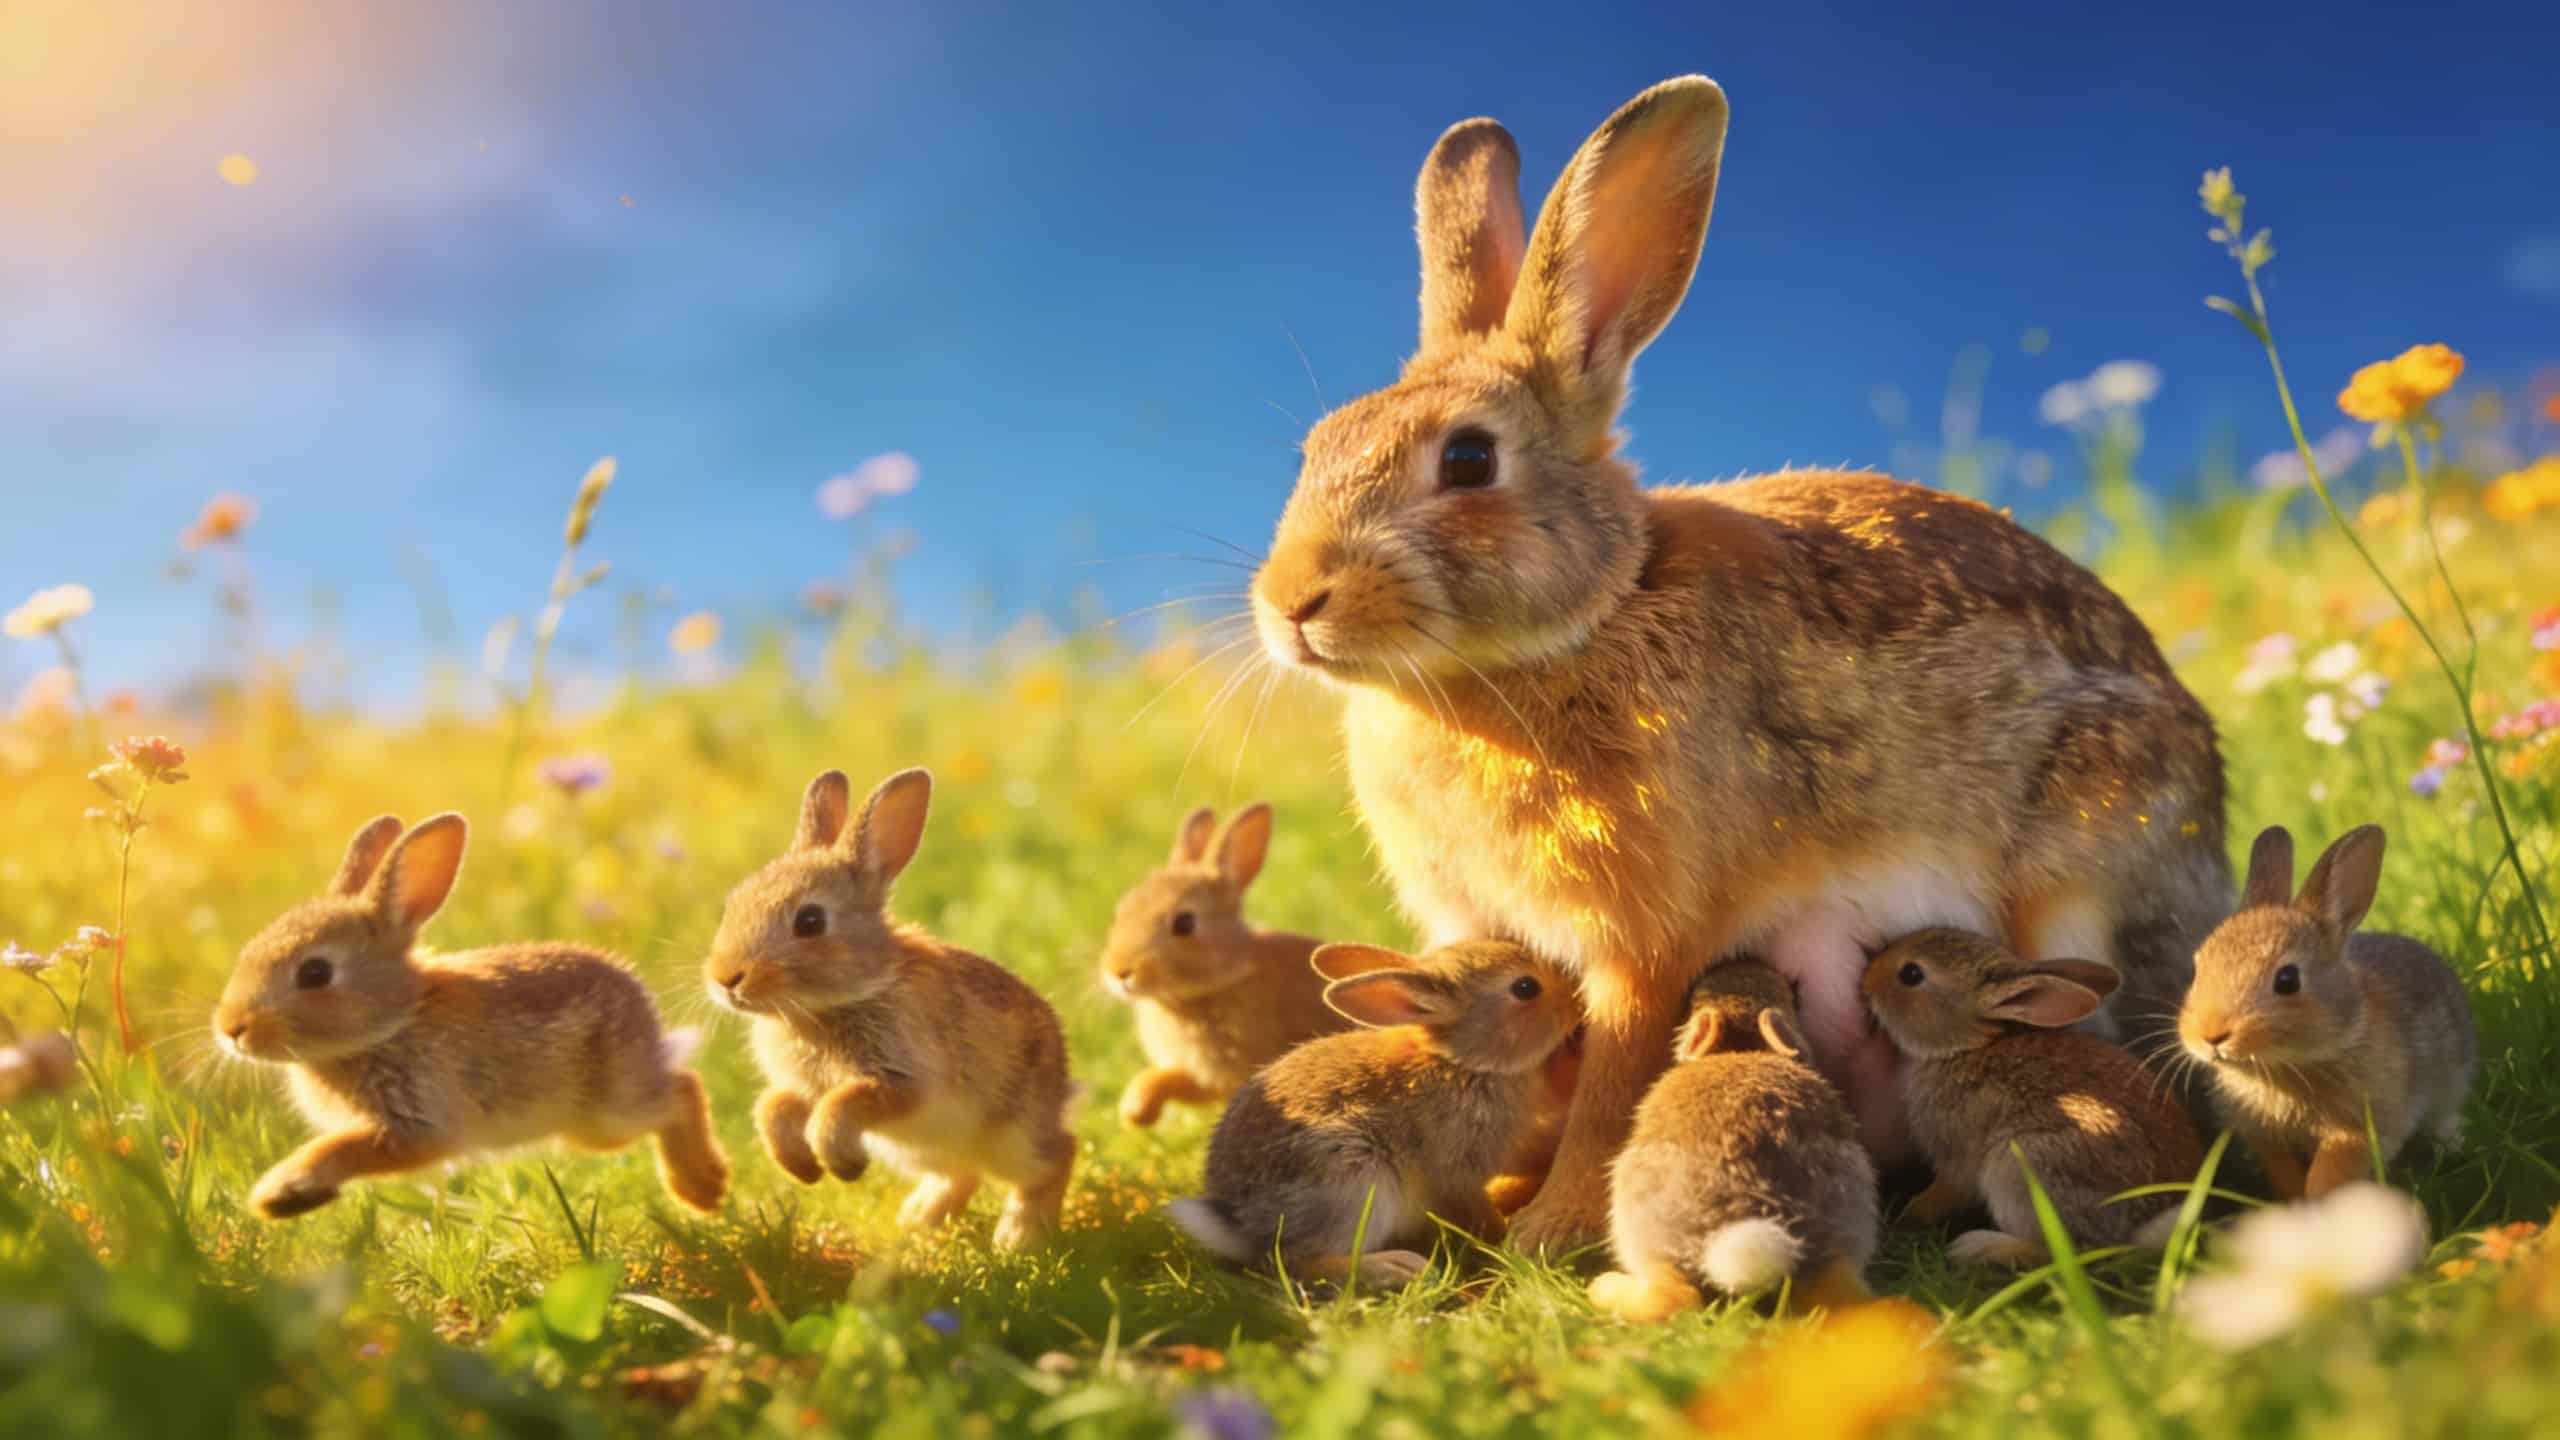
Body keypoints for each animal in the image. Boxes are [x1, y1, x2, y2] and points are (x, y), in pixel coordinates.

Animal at [213, 814, 728, 1220]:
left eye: (315, 972)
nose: (232, 1029)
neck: (396, 1019)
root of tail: (640, 1000)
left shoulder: (418, 1120)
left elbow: (344, 1146)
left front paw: (277, 1192)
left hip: (611, 1109)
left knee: (683, 1089)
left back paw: (703, 1188)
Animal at [706, 768, 1076, 1250]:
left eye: (810, 921)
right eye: (732, 905)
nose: (724, 978)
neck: (833, 1003)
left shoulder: (903, 1076)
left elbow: (846, 1100)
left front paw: (839, 1162)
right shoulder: (800, 1086)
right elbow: (772, 1105)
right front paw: (803, 1167)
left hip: (1014, 1135)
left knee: (1055, 1157)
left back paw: (1018, 1237)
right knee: (963, 1173)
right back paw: (919, 1219)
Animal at [1166, 939, 1579, 1287]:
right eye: (1525, 987)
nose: (1575, 998)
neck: (1463, 1061)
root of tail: (1242, 1225)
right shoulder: (1456, 1172)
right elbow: (1473, 1208)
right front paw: (1503, 1235)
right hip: (1353, 1177)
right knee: (1301, 1262)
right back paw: (1397, 1267)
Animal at [1863, 928, 2202, 1266]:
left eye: (1911, 974)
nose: (1867, 977)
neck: (1966, 1048)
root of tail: (2144, 1227)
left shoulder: (1955, 1153)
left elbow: (1948, 1189)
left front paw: (1907, 1215)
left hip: (2022, 1166)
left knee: (2070, 1251)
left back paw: (1981, 1247)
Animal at [2178, 824, 2476, 1200]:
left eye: (2287, 979)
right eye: (2196, 970)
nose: (2210, 1035)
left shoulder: (2359, 1127)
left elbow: (2331, 1171)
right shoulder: (2264, 1137)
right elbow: (2283, 1170)